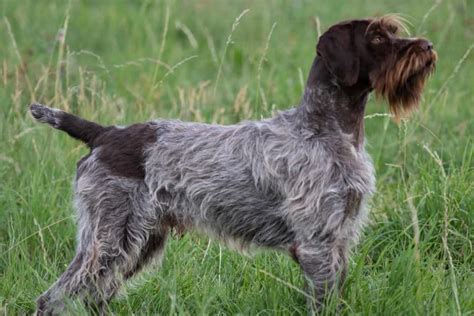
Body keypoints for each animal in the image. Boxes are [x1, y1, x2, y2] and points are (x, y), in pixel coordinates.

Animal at [30, 14, 436, 314]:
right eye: (377, 37)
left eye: (392, 32)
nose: (428, 46)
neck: (328, 129)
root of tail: (104, 133)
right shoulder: (318, 244)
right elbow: (323, 302)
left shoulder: (339, 238)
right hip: (110, 240)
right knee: (53, 299)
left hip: (138, 241)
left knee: (92, 297)